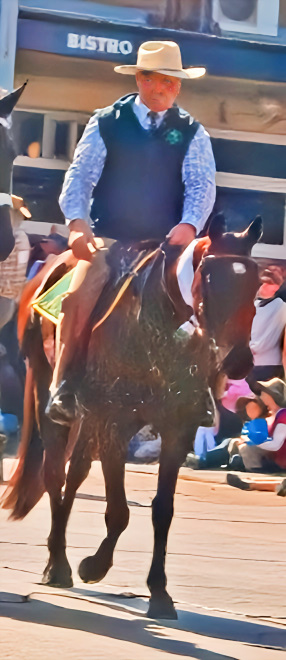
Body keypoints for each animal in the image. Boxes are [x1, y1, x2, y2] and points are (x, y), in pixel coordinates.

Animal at [1, 215, 262, 620]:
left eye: (256, 283)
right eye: (209, 277)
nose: (239, 361)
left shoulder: (177, 428)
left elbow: (163, 511)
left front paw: (159, 593)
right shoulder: (115, 422)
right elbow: (119, 511)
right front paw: (94, 566)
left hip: (89, 418)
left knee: (74, 474)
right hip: (50, 392)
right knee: (54, 473)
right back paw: (56, 565)